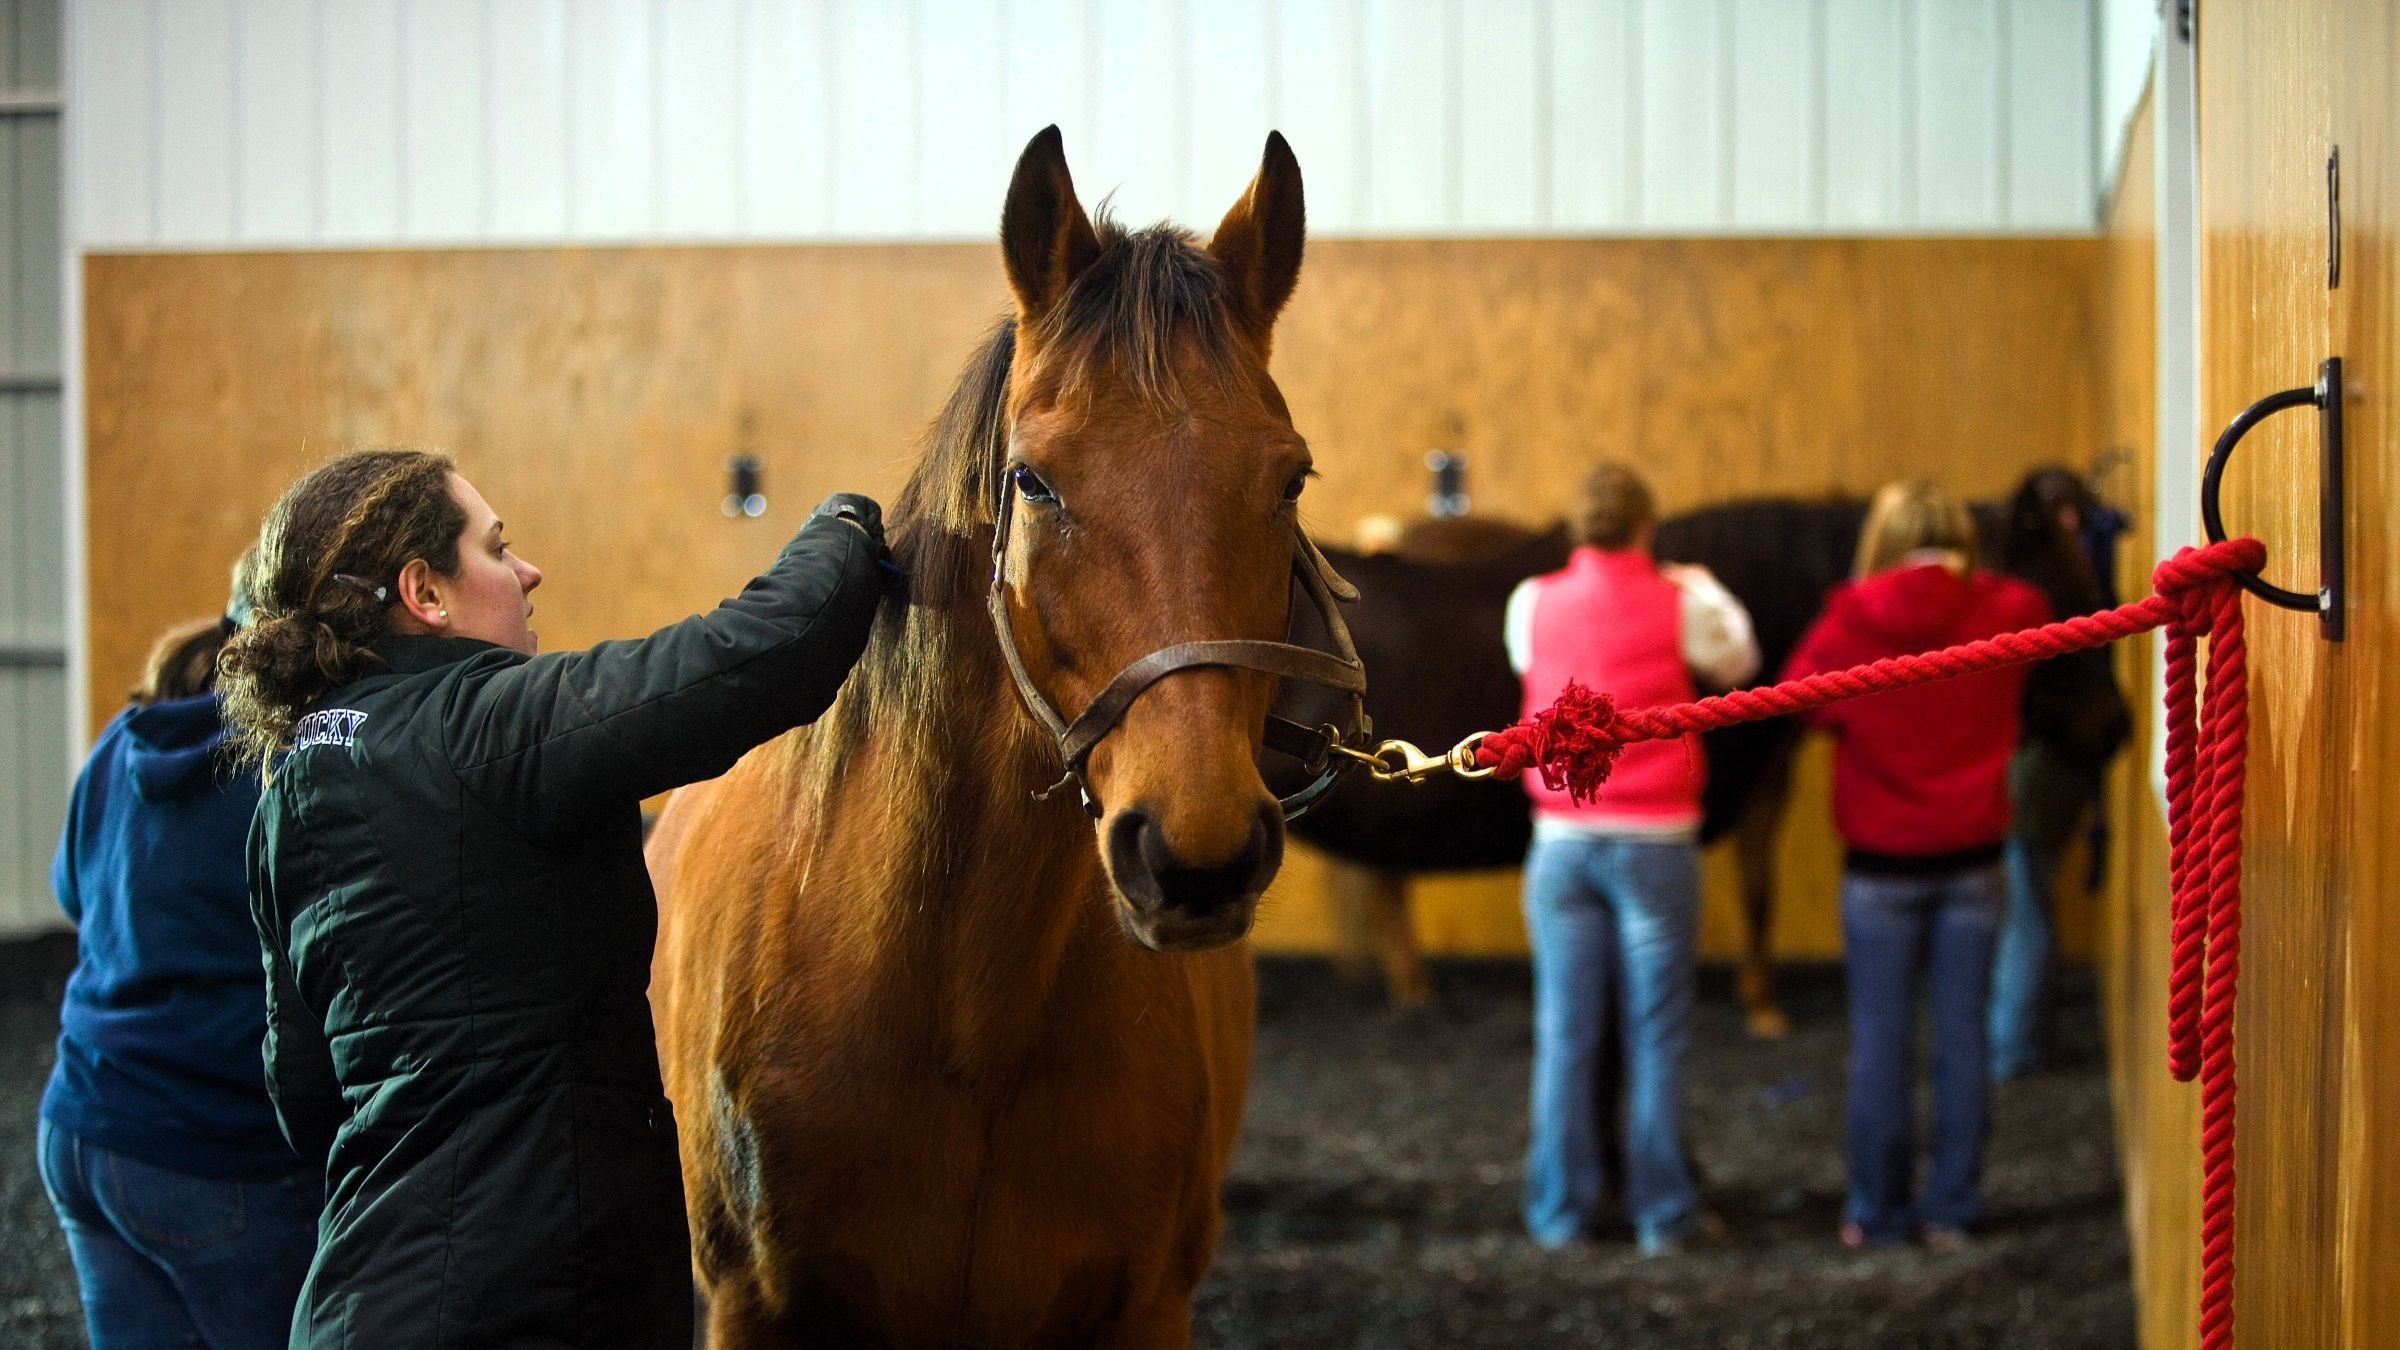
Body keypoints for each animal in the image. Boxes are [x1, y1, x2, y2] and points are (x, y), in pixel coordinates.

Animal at [652, 128, 1334, 1345]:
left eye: (1290, 478)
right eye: (1032, 479)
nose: (1195, 853)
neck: (964, 1022)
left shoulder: (1147, 1310)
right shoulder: (747, 1305)